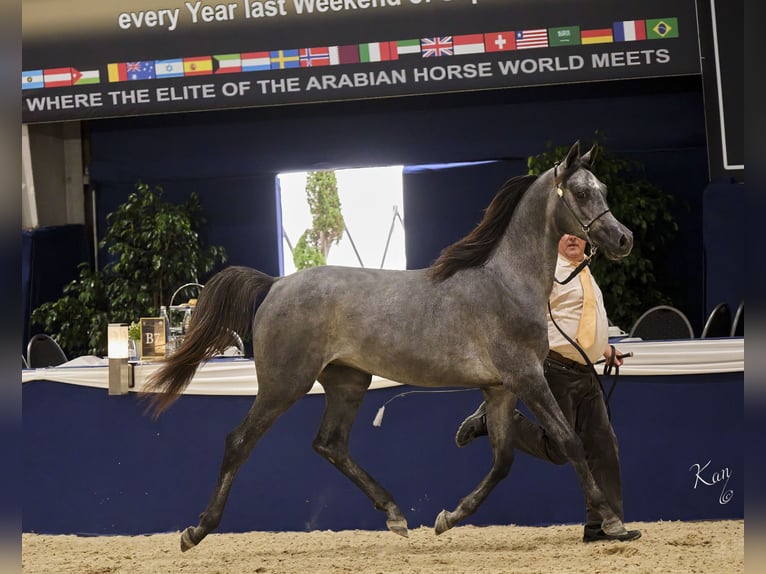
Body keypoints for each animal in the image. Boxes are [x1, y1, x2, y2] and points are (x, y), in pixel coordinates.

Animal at [146, 141, 636, 552]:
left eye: (602, 188)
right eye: (581, 192)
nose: (623, 239)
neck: (507, 281)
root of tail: (275, 284)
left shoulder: (500, 388)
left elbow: (503, 460)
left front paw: (447, 518)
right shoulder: (527, 377)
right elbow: (570, 441)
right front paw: (612, 522)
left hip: (348, 381)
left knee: (330, 444)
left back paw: (397, 515)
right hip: (284, 384)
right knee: (239, 441)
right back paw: (196, 530)